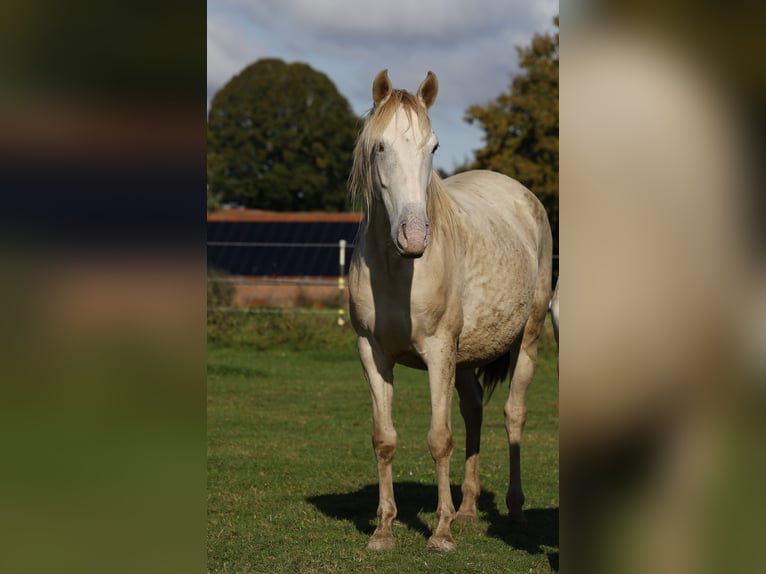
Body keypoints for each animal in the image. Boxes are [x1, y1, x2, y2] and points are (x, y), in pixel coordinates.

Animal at [348, 72, 552, 552]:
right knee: (474, 410)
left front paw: (440, 533)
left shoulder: (439, 351)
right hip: (465, 357)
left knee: (512, 415)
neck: (396, 270)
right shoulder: (372, 353)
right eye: (380, 146)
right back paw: (469, 509)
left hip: (527, 340)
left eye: (434, 147)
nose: (414, 236)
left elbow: (439, 439)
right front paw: (384, 530)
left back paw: (513, 510)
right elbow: (384, 439)